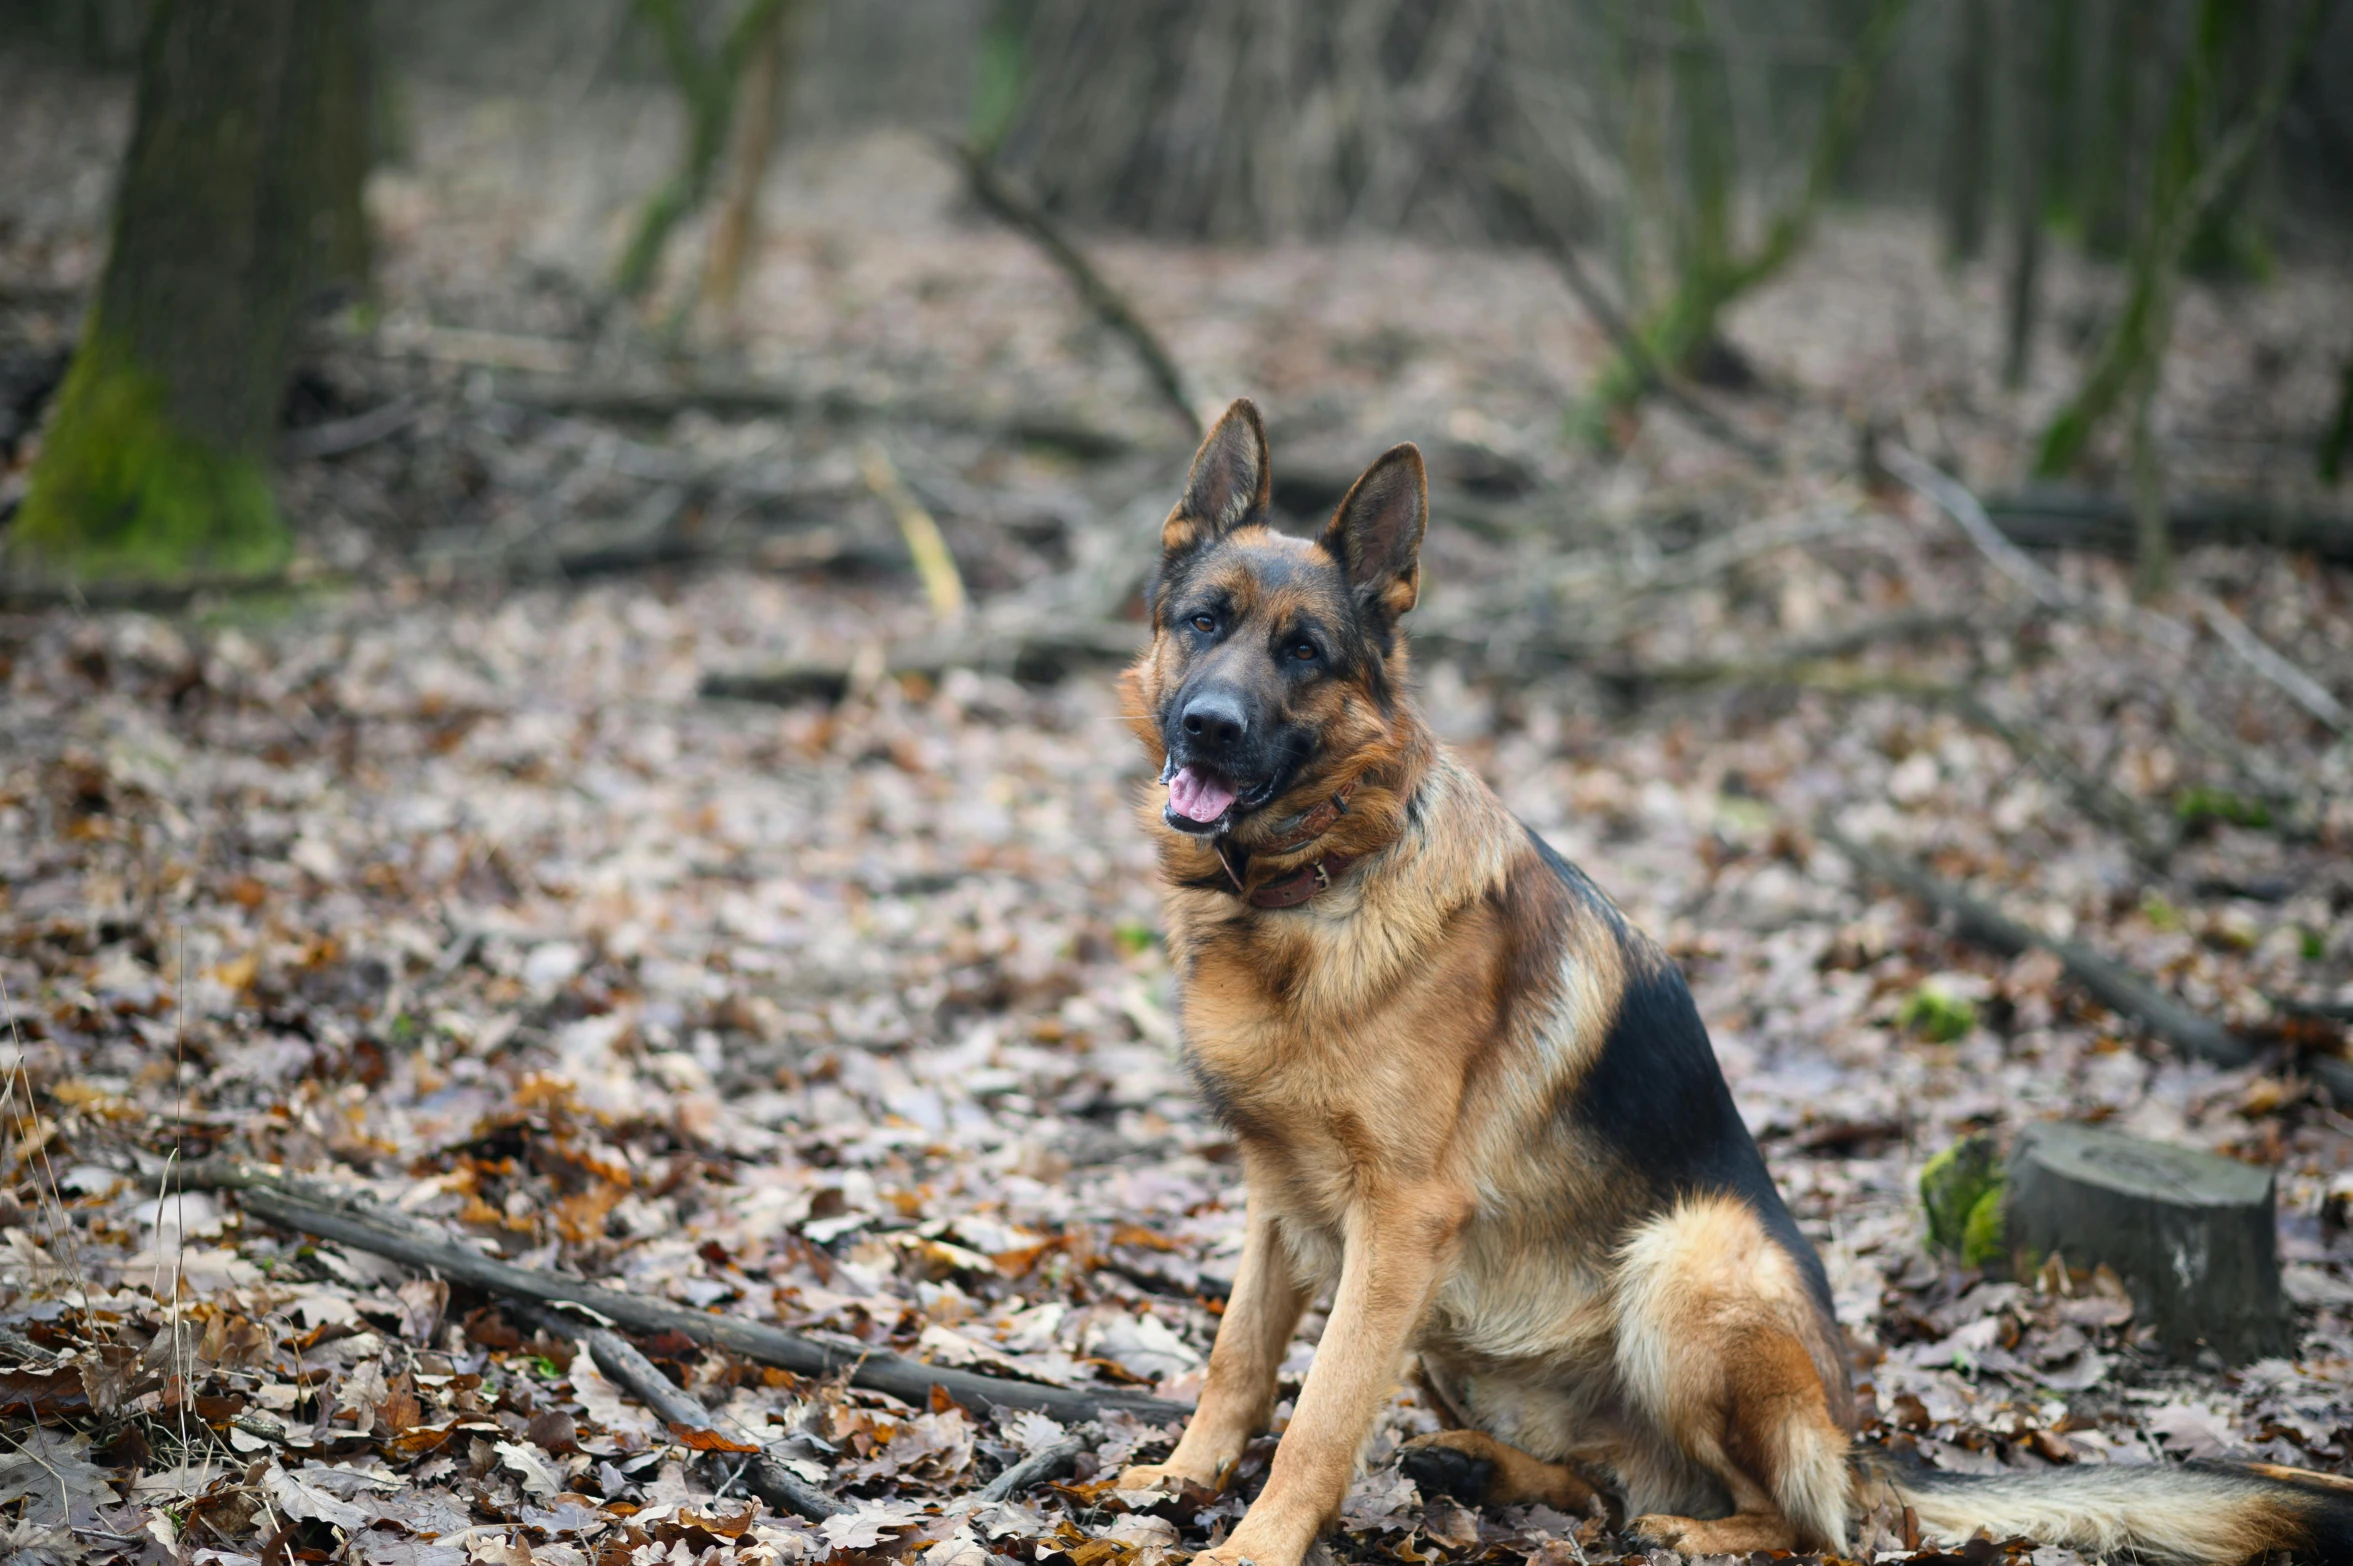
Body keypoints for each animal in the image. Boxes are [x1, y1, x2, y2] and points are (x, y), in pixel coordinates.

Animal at [1110, 397, 2353, 1551]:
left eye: (1303, 654)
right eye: (1205, 622)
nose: (1208, 727)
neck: (1321, 879)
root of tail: (1859, 1443)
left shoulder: (1401, 1225)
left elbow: (1320, 1412)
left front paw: (1254, 1546)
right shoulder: (1282, 1200)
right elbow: (1238, 1357)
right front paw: (1180, 1479)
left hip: (1684, 1259)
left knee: (1808, 1522)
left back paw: (1695, 1531)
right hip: (1466, 1332)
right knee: (1605, 1484)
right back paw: (1489, 1469)